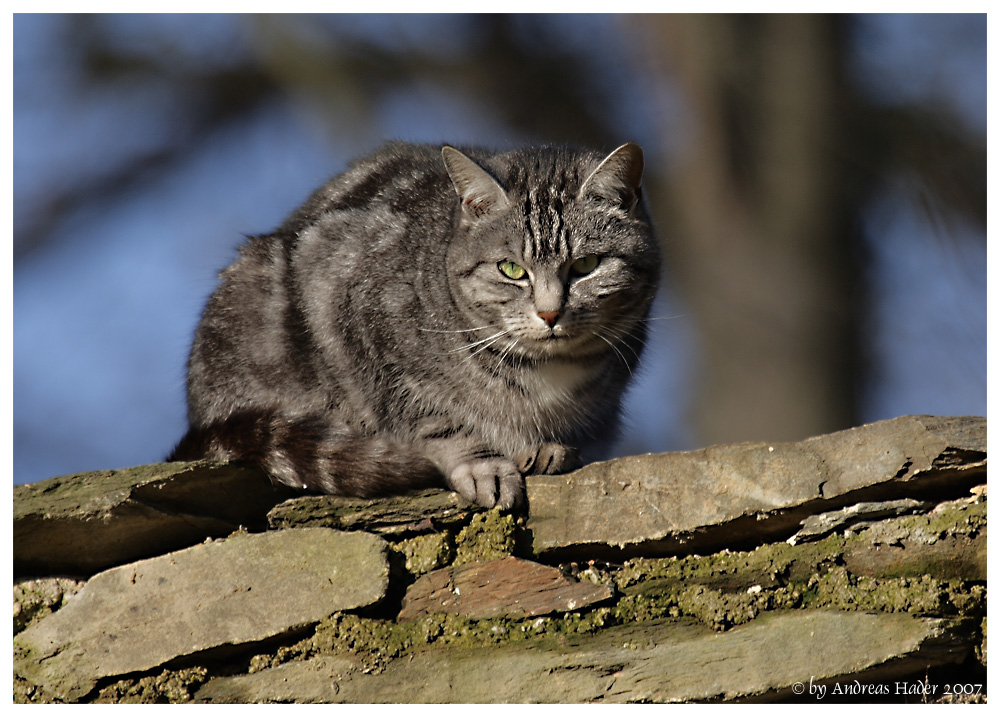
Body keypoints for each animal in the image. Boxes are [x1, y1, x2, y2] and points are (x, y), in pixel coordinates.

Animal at [168, 141, 660, 510]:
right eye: (511, 269)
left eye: (586, 266)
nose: (550, 313)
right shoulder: (358, 314)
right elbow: (432, 418)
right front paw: (479, 462)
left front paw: (550, 446)